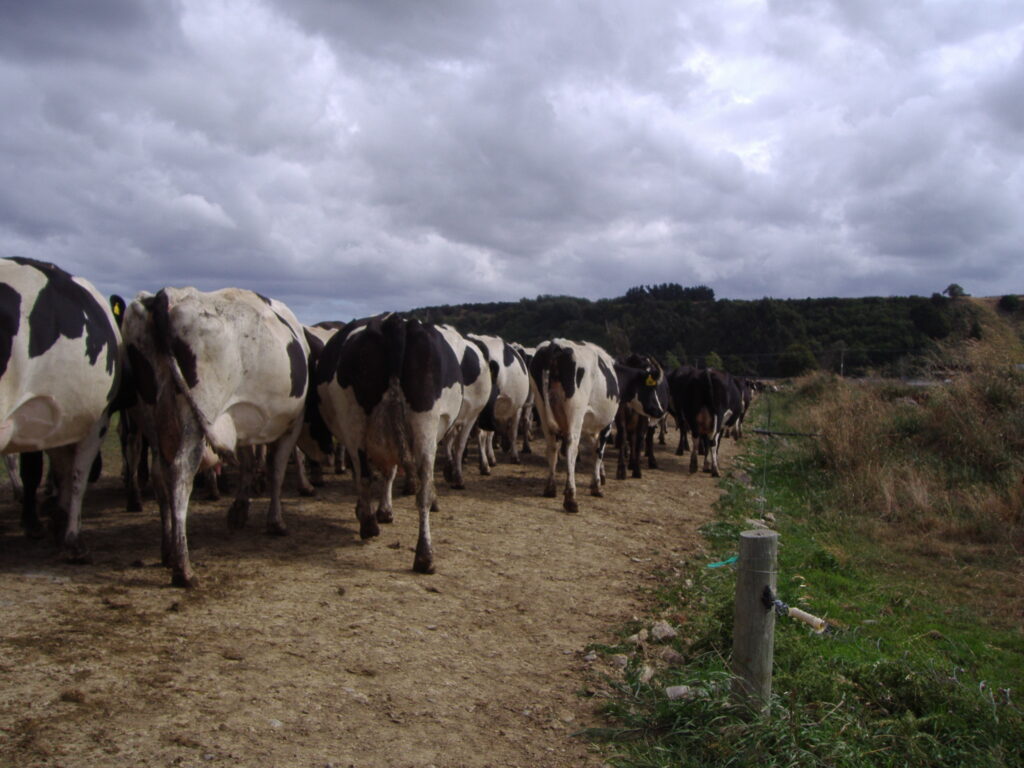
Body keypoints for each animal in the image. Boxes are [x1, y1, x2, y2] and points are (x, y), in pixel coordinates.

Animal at [0, 259, 120, 561]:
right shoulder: (97, 421)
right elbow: (77, 476)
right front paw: (71, 537)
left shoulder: (52, 421)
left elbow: (61, 471)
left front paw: (56, 519)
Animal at [120, 286, 307, 585]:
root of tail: (167, 296)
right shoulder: (293, 422)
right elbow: (276, 469)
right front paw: (275, 521)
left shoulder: (240, 420)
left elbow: (248, 463)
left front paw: (240, 510)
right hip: (196, 417)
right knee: (180, 473)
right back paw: (183, 566)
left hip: (151, 417)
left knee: (160, 474)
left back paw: (167, 550)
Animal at [315, 315, 468, 573]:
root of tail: (395, 322)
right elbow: (389, 472)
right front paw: (384, 511)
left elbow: (378, 473)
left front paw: (377, 511)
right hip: (425, 421)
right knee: (423, 489)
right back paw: (425, 556)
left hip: (355, 420)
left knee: (365, 475)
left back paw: (369, 524)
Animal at [464, 335, 528, 468]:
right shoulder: (517, 408)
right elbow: (513, 432)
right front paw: (514, 456)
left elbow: (491, 433)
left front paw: (492, 457)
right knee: (480, 433)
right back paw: (483, 465)